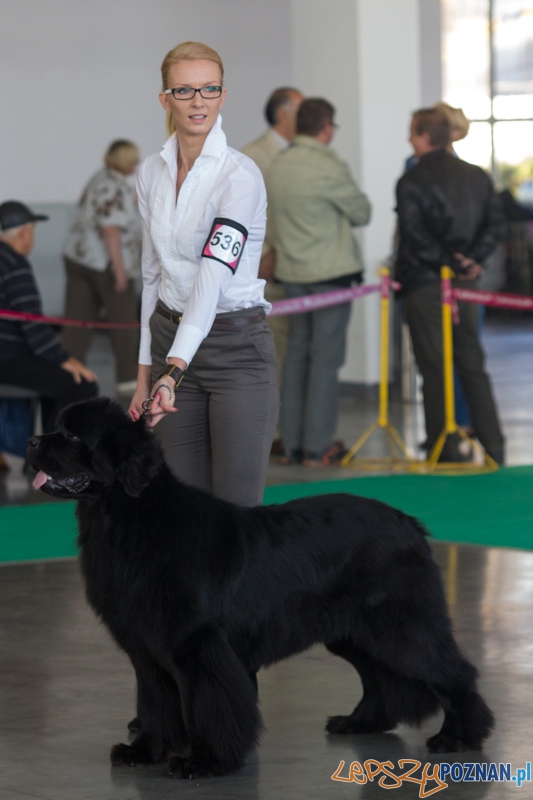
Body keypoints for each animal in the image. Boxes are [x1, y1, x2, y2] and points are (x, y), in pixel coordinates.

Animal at [26, 398, 494, 776]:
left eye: (72, 434)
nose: (31, 442)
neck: (126, 518)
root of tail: (409, 522)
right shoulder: (146, 648)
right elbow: (153, 703)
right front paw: (141, 751)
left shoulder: (197, 647)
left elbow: (206, 706)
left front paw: (204, 761)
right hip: (352, 631)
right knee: (377, 676)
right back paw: (358, 722)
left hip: (400, 625)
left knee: (452, 671)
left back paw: (459, 735)